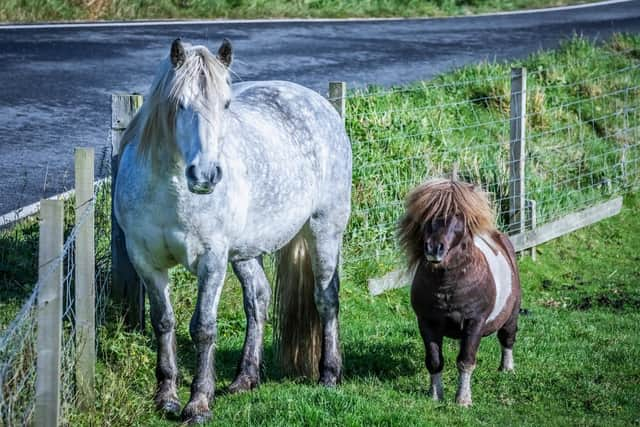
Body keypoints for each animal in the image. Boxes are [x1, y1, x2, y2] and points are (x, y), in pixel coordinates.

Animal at [116, 38, 356, 422]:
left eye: (226, 104)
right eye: (179, 103)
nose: (206, 175)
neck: (170, 192)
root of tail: (320, 103)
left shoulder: (212, 260)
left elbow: (203, 328)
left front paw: (198, 404)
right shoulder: (145, 261)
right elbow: (163, 322)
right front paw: (166, 397)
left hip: (325, 228)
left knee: (326, 297)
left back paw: (329, 375)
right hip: (246, 251)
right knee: (257, 299)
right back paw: (245, 378)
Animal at [400, 178, 520, 408]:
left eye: (457, 214)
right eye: (427, 213)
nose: (434, 249)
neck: (447, 285)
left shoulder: (475, 322)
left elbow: (466, 361)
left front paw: (463, 400)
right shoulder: (427, 322)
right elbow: (434, 360)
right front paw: (435, 395)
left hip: (512, 314)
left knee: (507, 338)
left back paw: (507, 369)